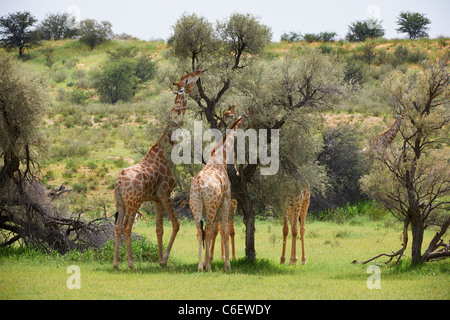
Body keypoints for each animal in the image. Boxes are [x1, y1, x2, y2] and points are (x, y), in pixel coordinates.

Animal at [113, 70, 205, 270]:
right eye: (188, 79)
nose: (201, 71)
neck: (166, 149)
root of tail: (118, 183)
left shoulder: (156, 199)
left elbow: (159, 228)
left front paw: (160, 259)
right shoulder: (165, 193)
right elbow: (176, 224)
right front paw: (165, 259)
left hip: (120, 202)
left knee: (117, 226)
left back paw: (115, 263)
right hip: (134, 202)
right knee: (126, 227)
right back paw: (130, 263)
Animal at [190, 116, 246, 272]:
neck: (220, 158)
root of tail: (199, 185)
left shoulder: (218, 203)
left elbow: (216, 230)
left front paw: (207, 261)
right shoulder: (226, 200)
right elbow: (225, 230)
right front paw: (227, 264)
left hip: (196, 205)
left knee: (200, 231)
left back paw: (200, 266)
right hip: (211, 205)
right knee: (208, 229)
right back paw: (208, 267)